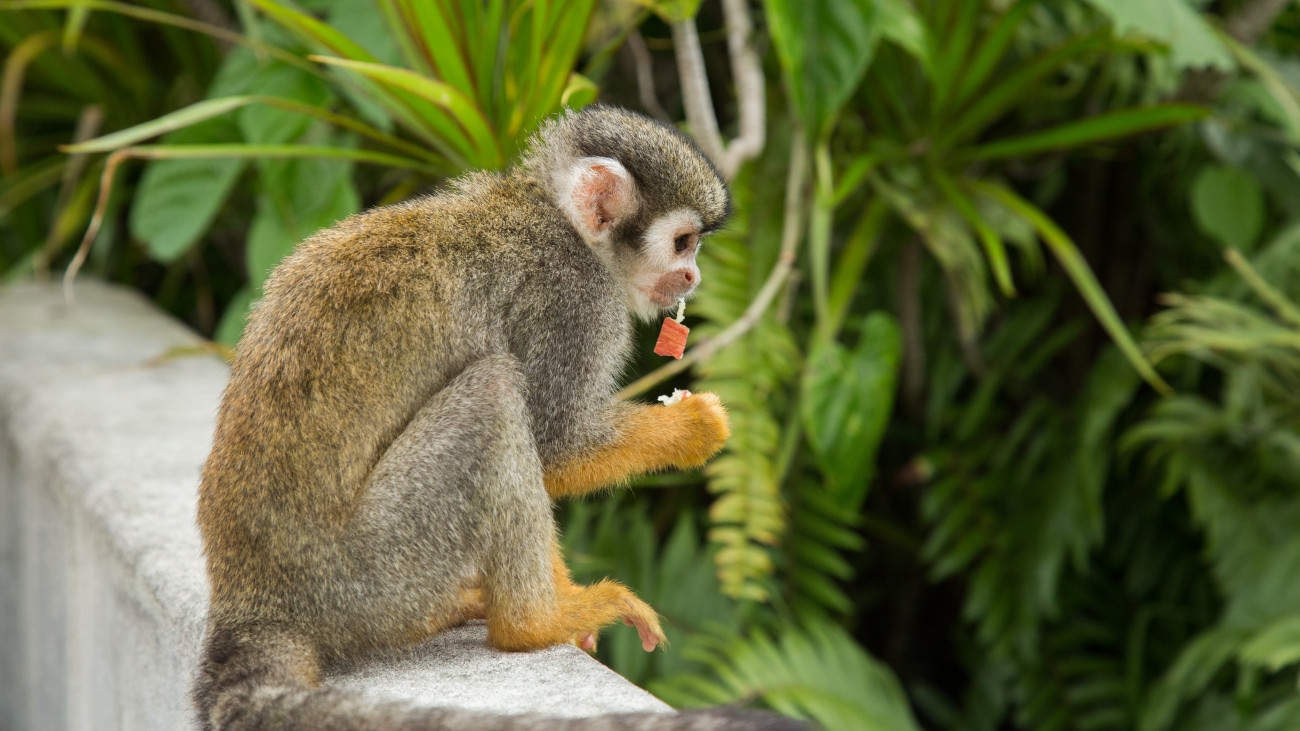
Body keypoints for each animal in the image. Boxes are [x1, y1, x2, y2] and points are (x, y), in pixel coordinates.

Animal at [193, 106, 800, 731]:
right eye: (683, 243)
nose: (693, 278)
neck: (561, 223)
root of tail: (255, 606)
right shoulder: (572, 300)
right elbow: (556, 445)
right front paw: (695, 429)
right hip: (369, 573)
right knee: (495, 393)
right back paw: (531, 625)